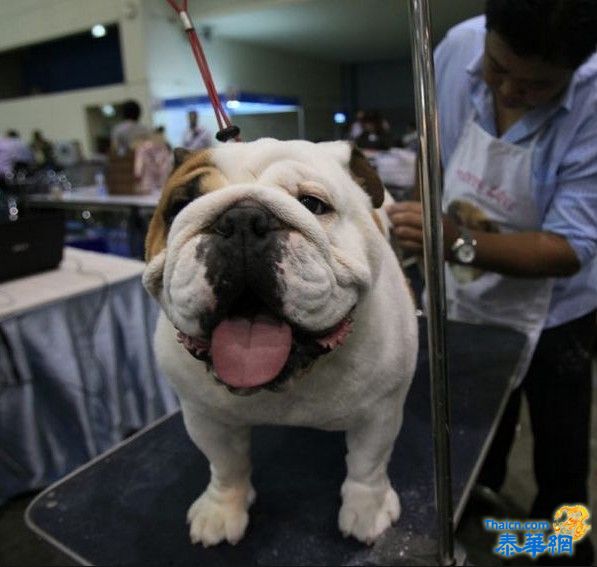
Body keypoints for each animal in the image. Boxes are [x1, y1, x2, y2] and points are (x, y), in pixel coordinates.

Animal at [142, 138, 416, 544]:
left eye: (313, 204)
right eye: (178, 207)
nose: (241, 220)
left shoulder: (380, 412)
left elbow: (368, 464)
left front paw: (367, 509)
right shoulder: (205, 418)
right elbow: (225, 464)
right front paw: (223, 508)